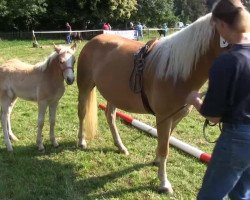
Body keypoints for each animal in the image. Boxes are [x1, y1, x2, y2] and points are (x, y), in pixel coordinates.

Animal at [76, 13, 229, 194]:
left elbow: (165, 142)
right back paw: (82, 141)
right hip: (85, 87)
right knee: (82, 113)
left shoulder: (175, 118)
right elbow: (164, 149)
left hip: (113, 95)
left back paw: (120, 146)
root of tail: (93, 40)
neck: (177, 71)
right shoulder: (164, 117)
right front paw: (164, 183)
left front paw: (156, 162)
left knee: (110, 117)